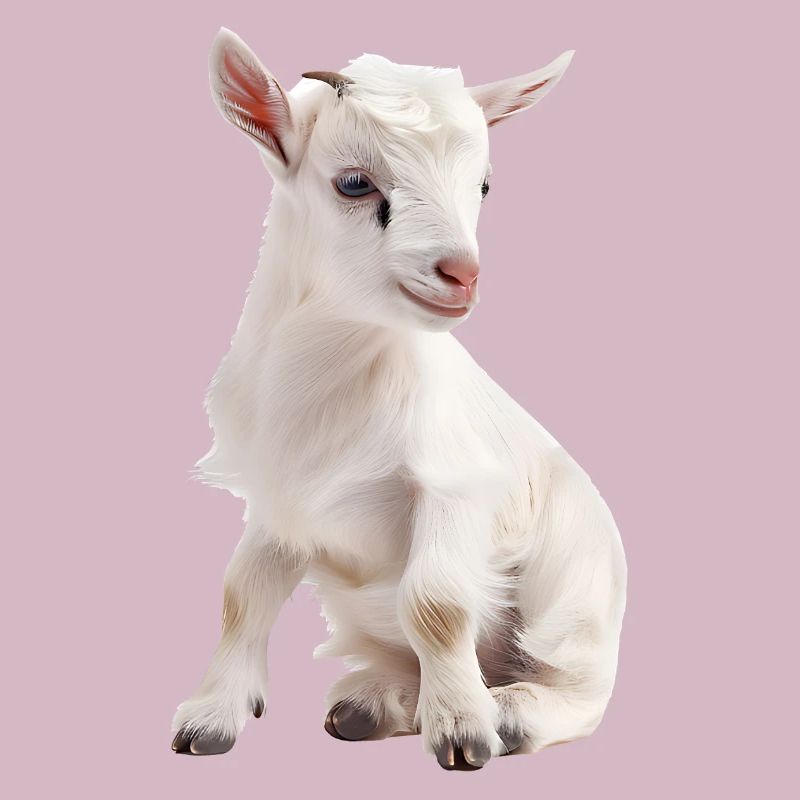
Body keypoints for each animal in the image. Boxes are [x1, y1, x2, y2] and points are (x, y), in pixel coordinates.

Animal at [171, 27, 627, 771]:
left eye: (484, 184)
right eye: (355, 182)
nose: (463, 274)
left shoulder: (451, 486)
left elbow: (436, 604)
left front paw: (465, 731)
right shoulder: (280, 503)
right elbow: (242, 593)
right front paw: (210, 718)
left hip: (573, 590)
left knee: (579, 685)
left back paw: (509, 711)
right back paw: (374, 704)